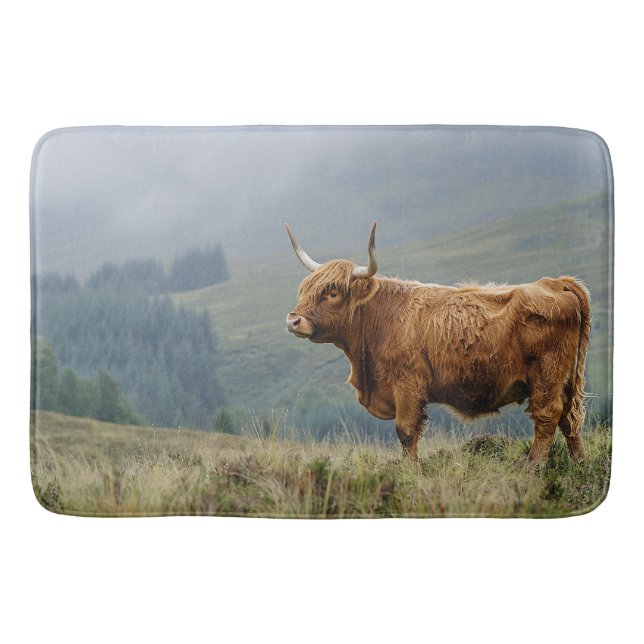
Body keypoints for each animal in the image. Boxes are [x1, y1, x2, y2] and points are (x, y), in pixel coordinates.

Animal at [285, 222, 590, 463]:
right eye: (304, 289)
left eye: (333, 293)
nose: (293, 320)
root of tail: (555, 282)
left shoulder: (407, 384)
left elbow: (406, 432)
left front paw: (410, 472)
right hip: (565, 379)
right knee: (569, 420)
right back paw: (579, 465)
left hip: (547, 374)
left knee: (548, 416)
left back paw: (532, 468)